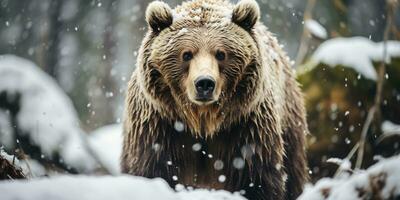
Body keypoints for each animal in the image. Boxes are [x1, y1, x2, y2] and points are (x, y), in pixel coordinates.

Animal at [120, 0, 308, 199]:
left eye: (221, 54)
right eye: (186, 54)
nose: (204, 83)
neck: (203, 121)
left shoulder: (247, 127)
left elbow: (258, 178)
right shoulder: (158, 127)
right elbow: (151, 170)